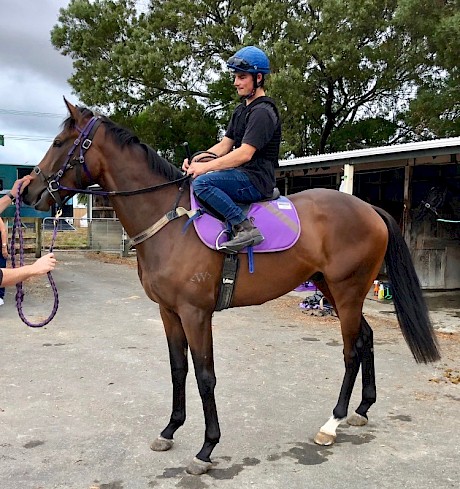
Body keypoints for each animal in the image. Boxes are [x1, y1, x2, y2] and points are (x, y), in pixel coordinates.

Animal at [23, 99, 440, 472]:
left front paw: (206, 448)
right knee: (366, 339)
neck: (170, 221)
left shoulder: (195, 314)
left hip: (348, 292)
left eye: (59, 143)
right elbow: (178, 369)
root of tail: (369, 209)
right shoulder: (168, 312)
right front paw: (170, 429)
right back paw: (362, 409)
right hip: (335, 292)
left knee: (351, 351)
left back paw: (332, 423)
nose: (27, 190)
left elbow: (205, 377)